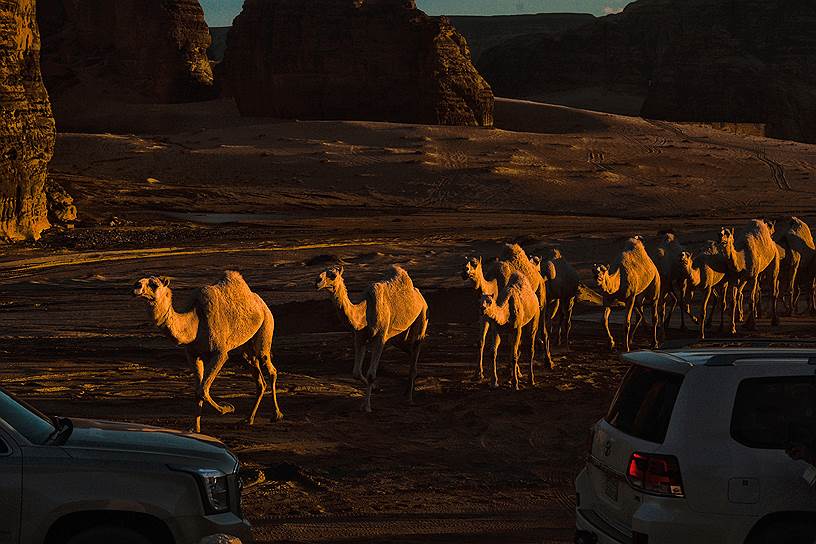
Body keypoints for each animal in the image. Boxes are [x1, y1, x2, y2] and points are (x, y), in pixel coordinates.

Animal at [134, 272, 284, 434]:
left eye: (154, 284)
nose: (136, 285)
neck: (194, 324)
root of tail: (261, 303)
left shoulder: (220, 353)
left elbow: (203, 390)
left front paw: (228, 408)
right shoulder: (193, 355)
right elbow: (197, 391)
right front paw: (195, 428)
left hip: (266, 325)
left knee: (269, 366)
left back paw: (276, 415)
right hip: (246, 346)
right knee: (257, 375)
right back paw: (248, 419)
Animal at [316, 264, 428, 412]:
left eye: (333, 275)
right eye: (321, 272)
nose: (317, 281)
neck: (363, 315)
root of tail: (419, 295)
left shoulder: (380, 338)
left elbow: (371, 375)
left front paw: (367, 407)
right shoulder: (360, 338)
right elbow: (356, 373)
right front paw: (376, 388)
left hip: (422, 316)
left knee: (415, 350)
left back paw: (409, 399)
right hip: (397, 336)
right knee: (409, 350)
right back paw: (406, 392)